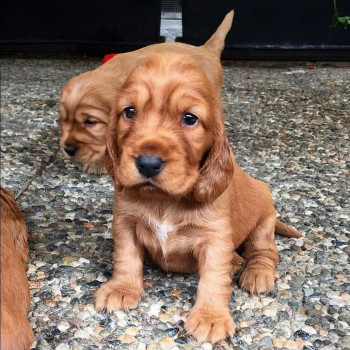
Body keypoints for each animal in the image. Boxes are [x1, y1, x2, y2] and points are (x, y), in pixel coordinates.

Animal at [94, 52, 302, 344]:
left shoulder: (216, 237)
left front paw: (211, 316)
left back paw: (255, 272)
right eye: (130, 111)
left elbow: (214, 276)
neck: (165, 199)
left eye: (190, 118)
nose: (148, 164)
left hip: (264, 220)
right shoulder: (125, 222)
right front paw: (121, 288)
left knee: (265, 252)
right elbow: (126, 256)